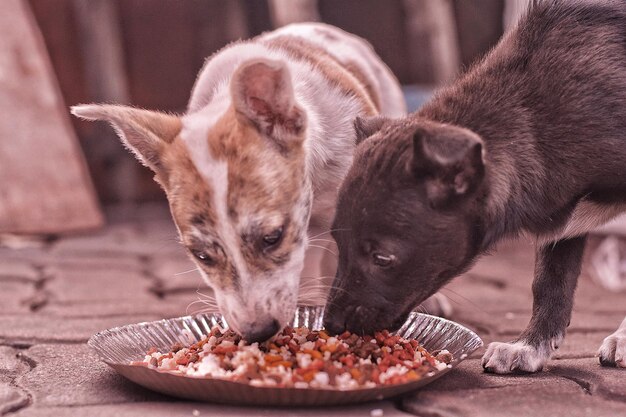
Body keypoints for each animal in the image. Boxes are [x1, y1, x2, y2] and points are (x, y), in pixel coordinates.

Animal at [322, 0, 624, 370]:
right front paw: (529, 347)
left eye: (382, 258)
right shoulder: (563, 210)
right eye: (338, 242)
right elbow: (550, 281)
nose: (331, 325)